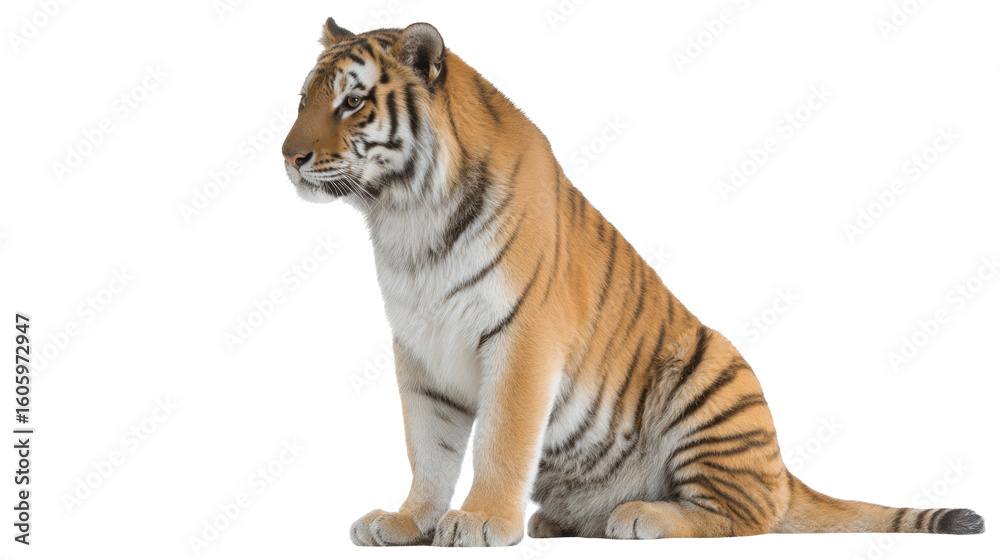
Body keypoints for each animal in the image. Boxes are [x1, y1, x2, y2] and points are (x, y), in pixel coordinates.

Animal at [281, 18, 985, 546]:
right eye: (304, 100)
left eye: (352, 102)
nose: (288, 156)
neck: (404, 218)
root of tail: (784, 473)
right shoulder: (419, 351)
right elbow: (427, 448)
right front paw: (407, 522)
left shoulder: (522, 338)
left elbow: (502, 439)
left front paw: (480, 521)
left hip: (714, 377)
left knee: (748, 516)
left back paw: (642, 515)